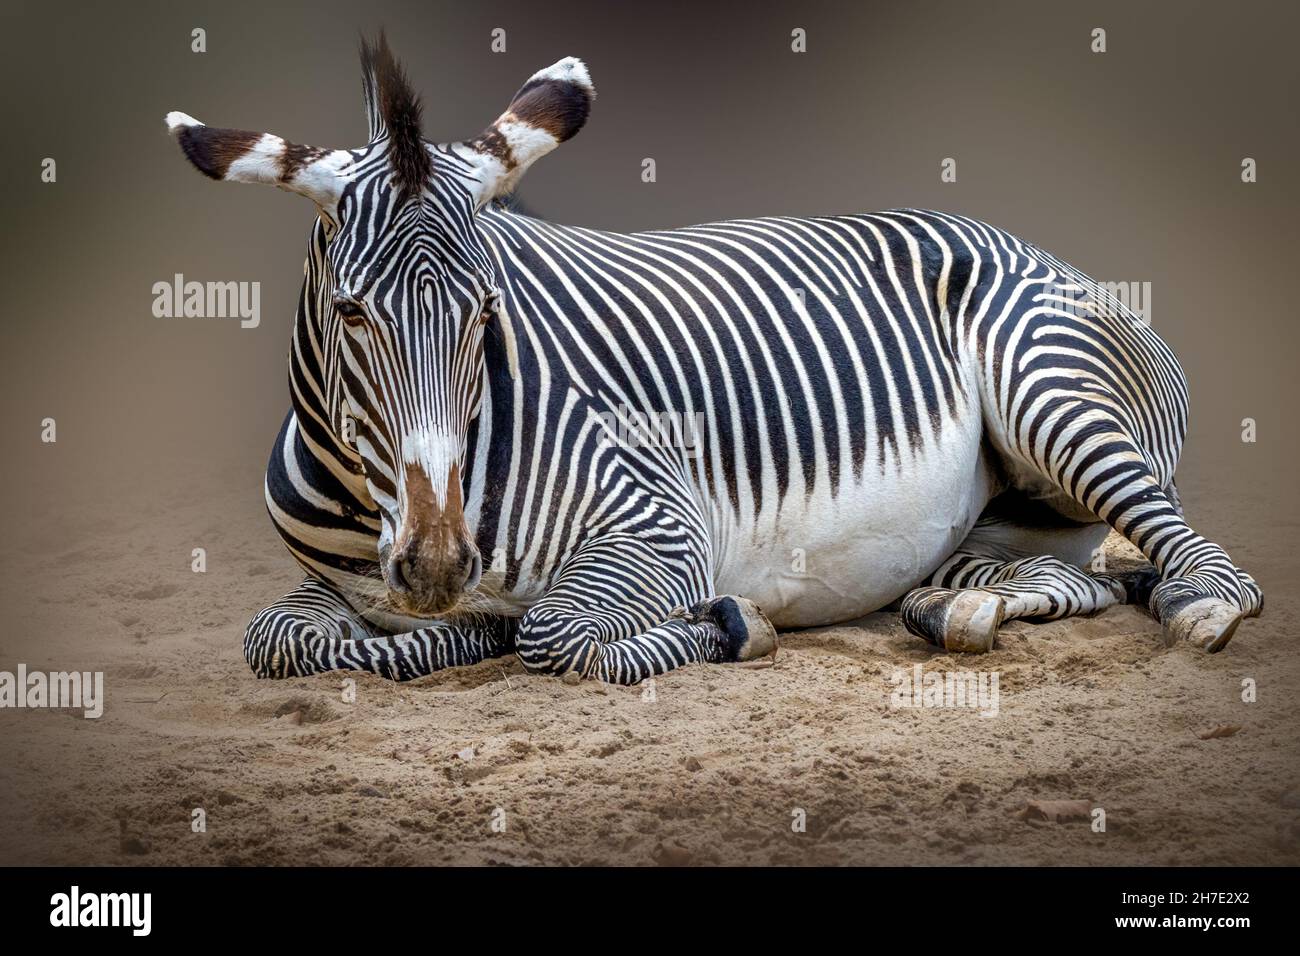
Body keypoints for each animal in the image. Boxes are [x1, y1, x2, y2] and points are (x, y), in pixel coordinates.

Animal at [162, 35, 1258, 681]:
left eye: (486, 311)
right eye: (352, 313)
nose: (436, 563)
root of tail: (1036, 247)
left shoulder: (658, 523)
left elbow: (553, 635)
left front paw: (725, 623)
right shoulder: (339, 586)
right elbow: (283, 637)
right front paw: (452, 628)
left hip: (1051, 395)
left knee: (1203, 566)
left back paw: (1196, 609)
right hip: (1003, 520)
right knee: (1084, 579)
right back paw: (962, 605)